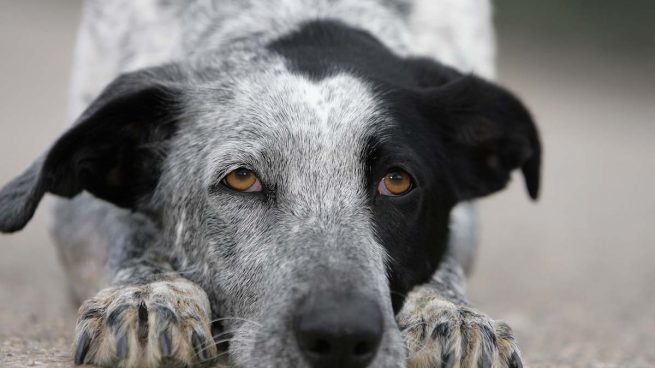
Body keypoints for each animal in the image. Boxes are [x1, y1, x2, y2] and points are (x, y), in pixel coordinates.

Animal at [0, 1, 540, 366]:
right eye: (242, 178)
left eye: (397, 181)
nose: (340, 336)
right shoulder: (71, 217)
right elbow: (131, 229)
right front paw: (149, 297)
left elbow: (446, 263)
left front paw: (453, 316)